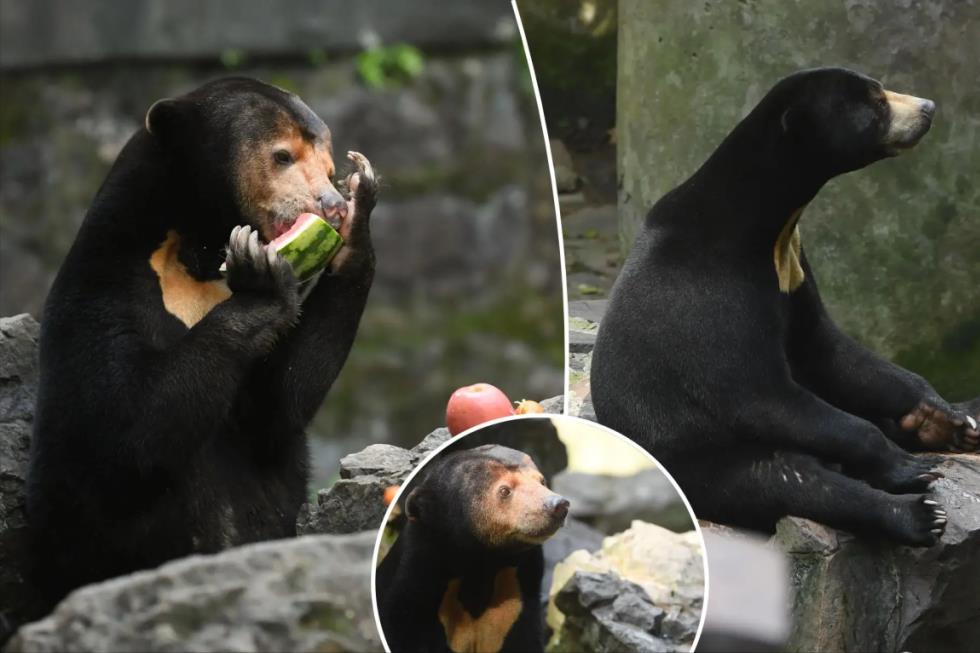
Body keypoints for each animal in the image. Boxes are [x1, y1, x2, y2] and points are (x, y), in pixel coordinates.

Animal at [25, 76, 378, 609]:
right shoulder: (100, 290)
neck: (196, 251)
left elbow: (278, 403)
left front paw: (357, 220)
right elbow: (124, 429)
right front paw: (262, 279)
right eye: (281, 156)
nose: (330, 206)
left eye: (331, 167)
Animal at [591, 67, 980, 548]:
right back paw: (917, 511)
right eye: (876, 102)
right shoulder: (709, 296)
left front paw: (947, 418)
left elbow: (831, 351)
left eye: (880, 89)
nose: (928, 107)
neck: (772, 227)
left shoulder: (792, 270)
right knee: (792, 481)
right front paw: (909, 464)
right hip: (700, 460)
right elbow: (762, 395)